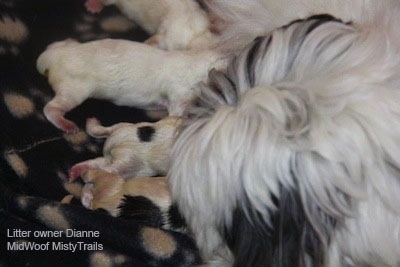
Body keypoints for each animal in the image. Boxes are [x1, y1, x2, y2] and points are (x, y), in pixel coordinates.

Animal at [36, 38, 225, 133]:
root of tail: (54, 56)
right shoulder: (179, 95)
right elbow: (178, 113)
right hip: (74, 88)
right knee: (51, 108)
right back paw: (65, 124)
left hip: (65, 51)